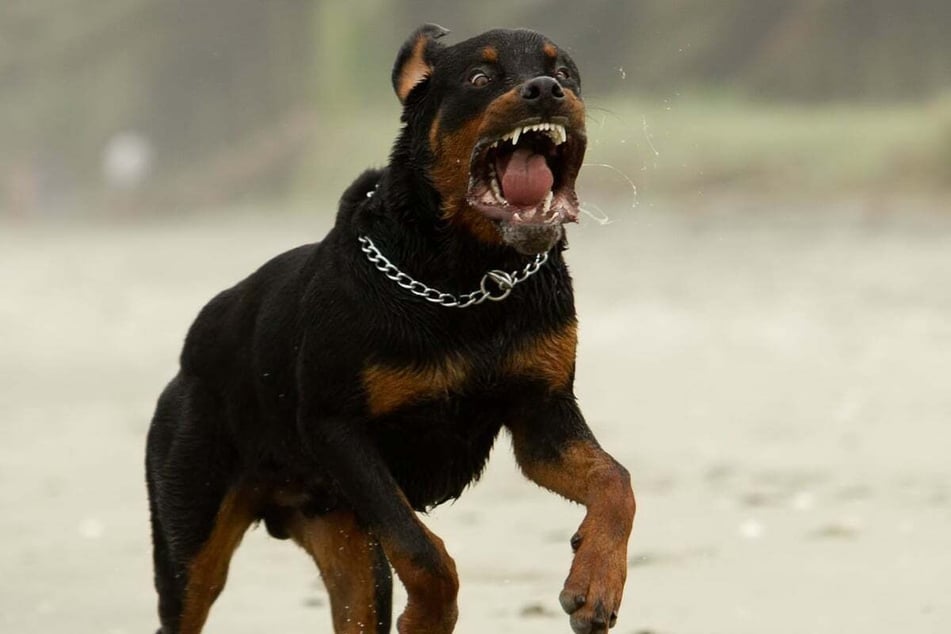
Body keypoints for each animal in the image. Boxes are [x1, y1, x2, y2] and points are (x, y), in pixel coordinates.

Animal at [149, 24, 636, 632]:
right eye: (480, 77)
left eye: (565, 72)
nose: (546, 90)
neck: (468, 278)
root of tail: (191, 352)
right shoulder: (341, 432)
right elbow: (424, 552)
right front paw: (429, 618)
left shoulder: (541, 416)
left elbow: (616, 481)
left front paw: (595, 583)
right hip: (193, 530)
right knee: (188, 595)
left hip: (341, 536)